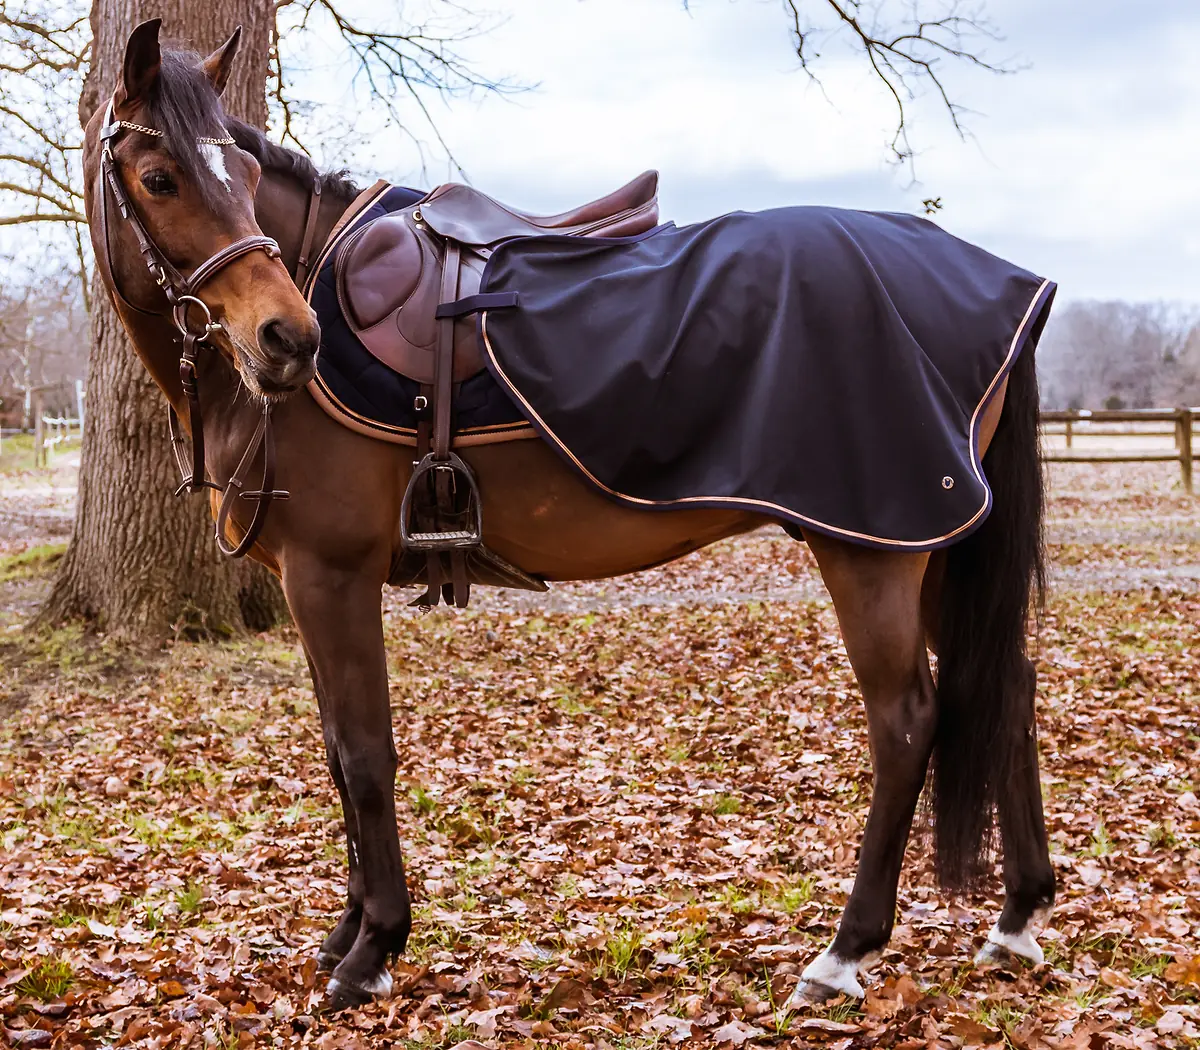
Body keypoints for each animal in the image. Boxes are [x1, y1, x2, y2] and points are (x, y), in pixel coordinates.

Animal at [81, 20, 1056, 1010]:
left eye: (239, 176)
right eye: (161, 179)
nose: (289, 338)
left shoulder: (332, 577)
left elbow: (362, 754)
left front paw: (373, 950)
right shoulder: (306, 584)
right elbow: (333, 752)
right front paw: (346, 934)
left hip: (872, 550)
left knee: (906, 722)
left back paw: (845, 952)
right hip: (932, 543)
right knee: (1007, 689)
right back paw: (1016, 918)